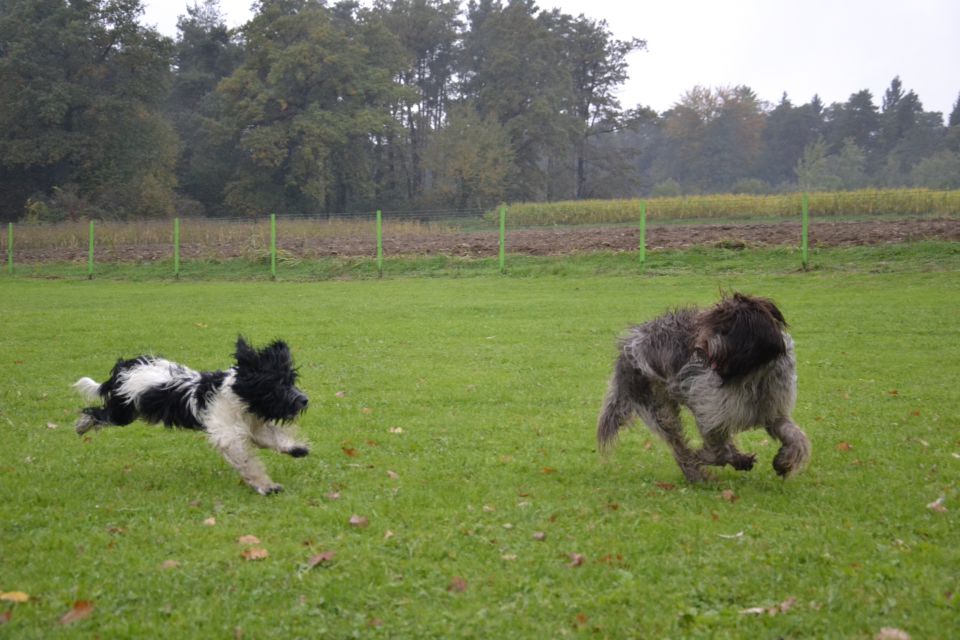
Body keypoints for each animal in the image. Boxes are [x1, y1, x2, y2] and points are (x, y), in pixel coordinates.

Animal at [74, 338, 310, 498]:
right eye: (278, 384)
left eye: (291, 380)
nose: (304, 400)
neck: (239, 396)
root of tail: (124, 367)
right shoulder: (227, 434)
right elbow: (248, 462)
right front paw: (266, 486)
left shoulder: (253, 426)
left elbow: (273, 437)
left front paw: (296, 448)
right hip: (123, 412)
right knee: (95, 413)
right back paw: (82, 425)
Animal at [600, 292, 808, 482]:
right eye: (710, 323)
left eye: (727, 329)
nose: (699, 347)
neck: (752, 375)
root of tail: (628, 344)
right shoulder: (708, 413)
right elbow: (718, 451)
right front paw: (706, 457)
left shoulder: (773, 413)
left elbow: (796, 436)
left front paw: (784, 461)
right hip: (657, 407)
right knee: (678, 445)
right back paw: (695, 474)